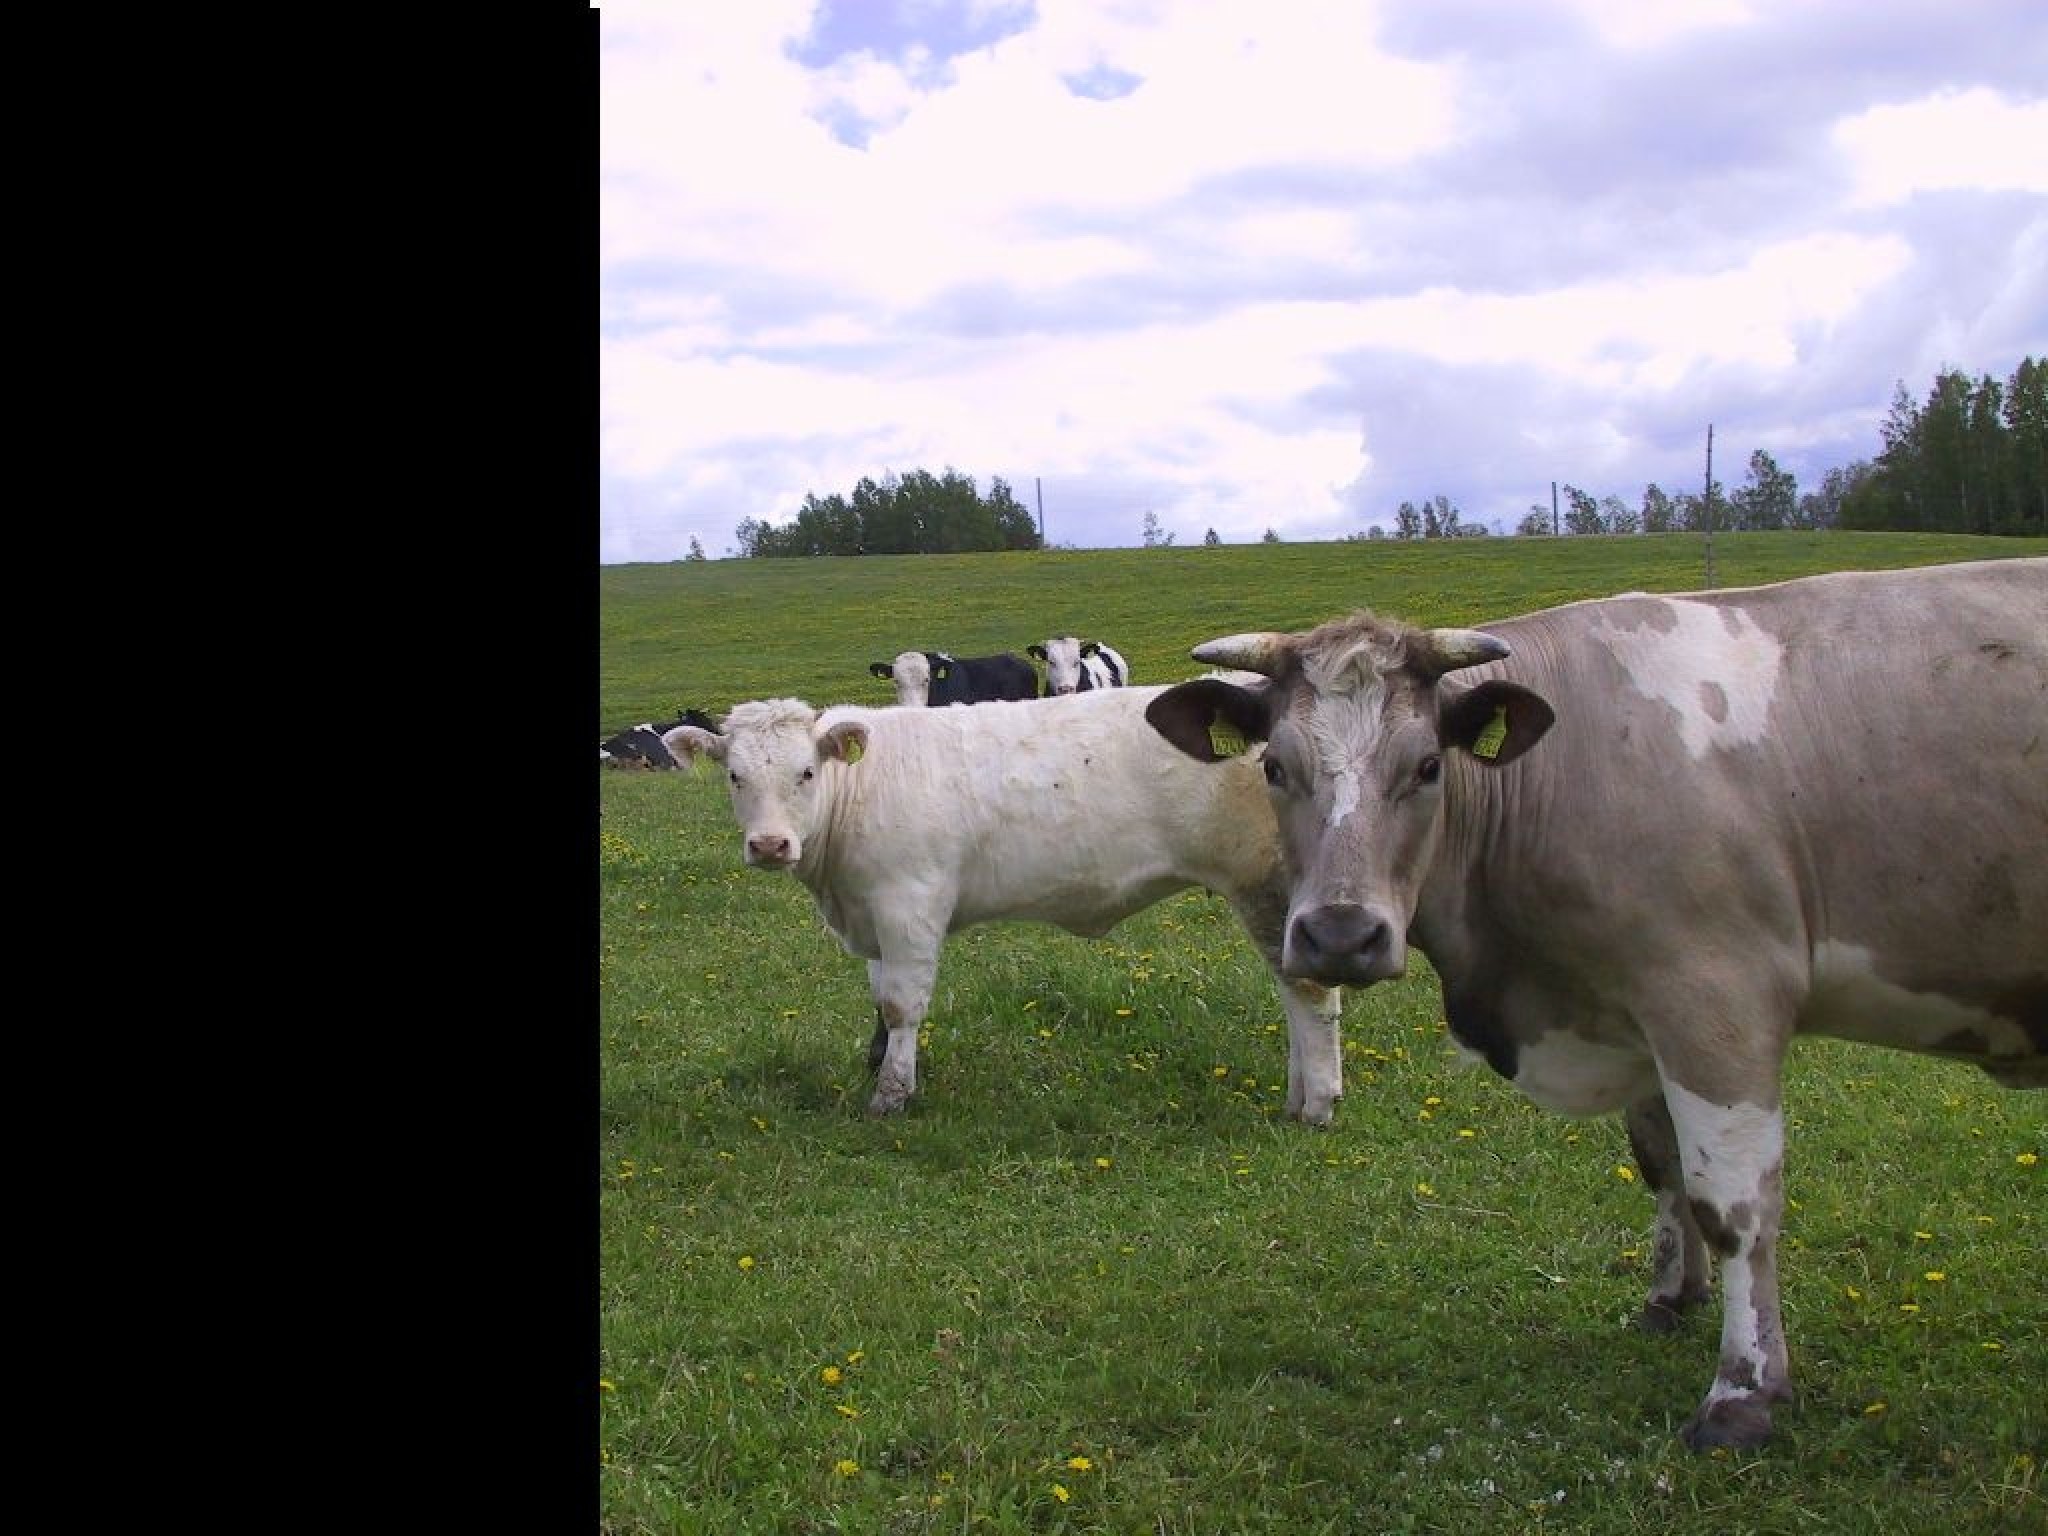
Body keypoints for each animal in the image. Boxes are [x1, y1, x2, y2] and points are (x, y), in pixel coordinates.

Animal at [663, 692, 1351, 1122]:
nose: (769, 845)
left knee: (1309, 990)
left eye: (805, 773)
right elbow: (881, 1001)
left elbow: (902, 1005)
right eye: (734, 777)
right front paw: (881, 1065)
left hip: (1268, 887)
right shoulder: (873, 918)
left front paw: (892, 1096)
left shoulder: (910, 902)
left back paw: (1316, 1104)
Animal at [1146, 557, 2039, 1458]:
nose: (1338, 935)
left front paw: (1744, 1392)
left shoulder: (1717, 1000)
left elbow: (1736, 1204)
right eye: (1272, 768)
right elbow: (1661, 1161)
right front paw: (1671, 1297)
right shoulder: (1637, 1010)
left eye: (1429, 766)